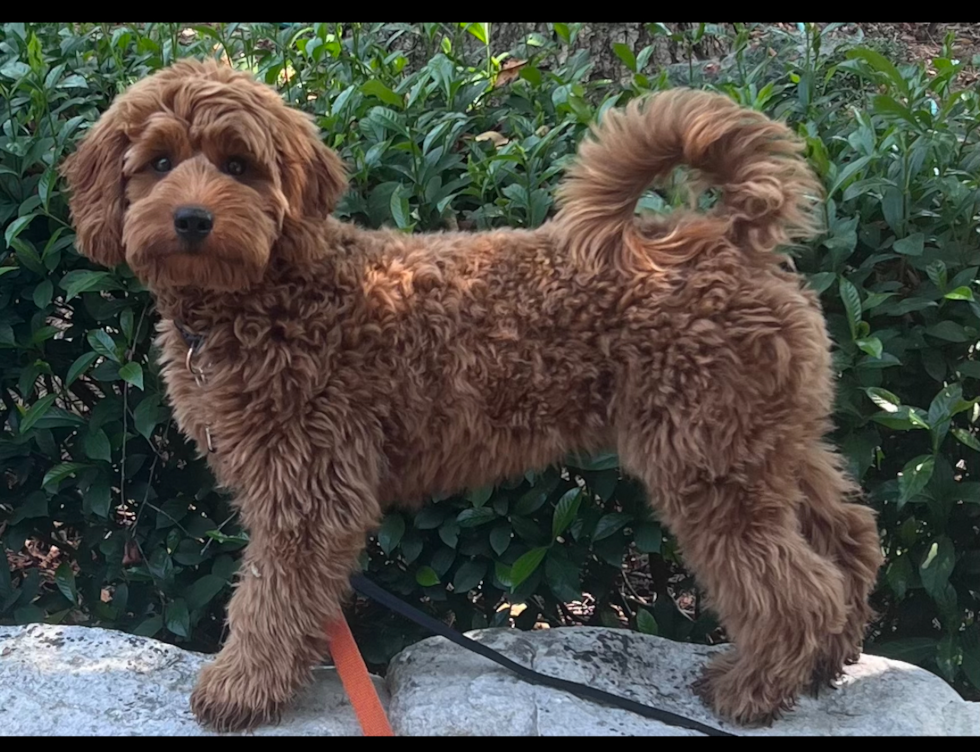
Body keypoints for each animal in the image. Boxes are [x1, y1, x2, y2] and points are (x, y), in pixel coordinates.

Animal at [65, 60, 884, 736]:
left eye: (239, 165)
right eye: (159, 162)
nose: (192, 219)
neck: (267, 291)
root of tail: (730, 237)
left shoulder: (307, 491)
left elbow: (270, 598)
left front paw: (241, 688)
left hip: (707, 456)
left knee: (793, 586)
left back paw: (756, 688)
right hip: (767, 441)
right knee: (846, 537)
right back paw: (828, 660)